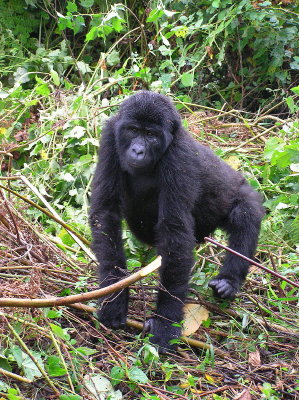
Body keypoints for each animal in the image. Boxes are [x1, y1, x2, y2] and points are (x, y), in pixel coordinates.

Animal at [89, 90, 264, 350]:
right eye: (133, 130)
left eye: (151, 135)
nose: (138, 151)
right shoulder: (110, 137)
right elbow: (105, 213)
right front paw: (115, 297)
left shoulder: (178, 157)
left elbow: (175, 232)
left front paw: (165, 324)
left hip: (238, 190)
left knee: (245, 215)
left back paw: (228, 281)